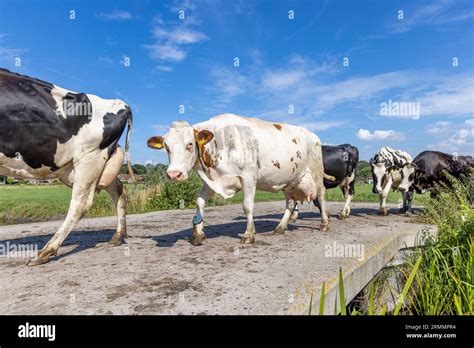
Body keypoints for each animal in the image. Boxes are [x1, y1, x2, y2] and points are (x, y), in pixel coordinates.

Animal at [0, 68, 135, 266]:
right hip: (92, 163)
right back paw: (117, 237)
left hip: (88, 158)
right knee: (118, 189)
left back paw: (45, 252)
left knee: (80, 203)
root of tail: (120, 104)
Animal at [146, 114, 332, 245]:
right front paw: (198, 233)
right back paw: (280, 227)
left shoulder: (249, 177)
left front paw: (249, 235)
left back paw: (324, 224)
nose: (173, 174)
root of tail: (312, 135)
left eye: (190, 144)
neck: (220, 142)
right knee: (290, 203)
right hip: (289, 179)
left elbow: (247, 206)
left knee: (321, 195)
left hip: (316, 173)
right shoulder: (212, 180)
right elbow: (199, 203)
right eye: (166, 147)